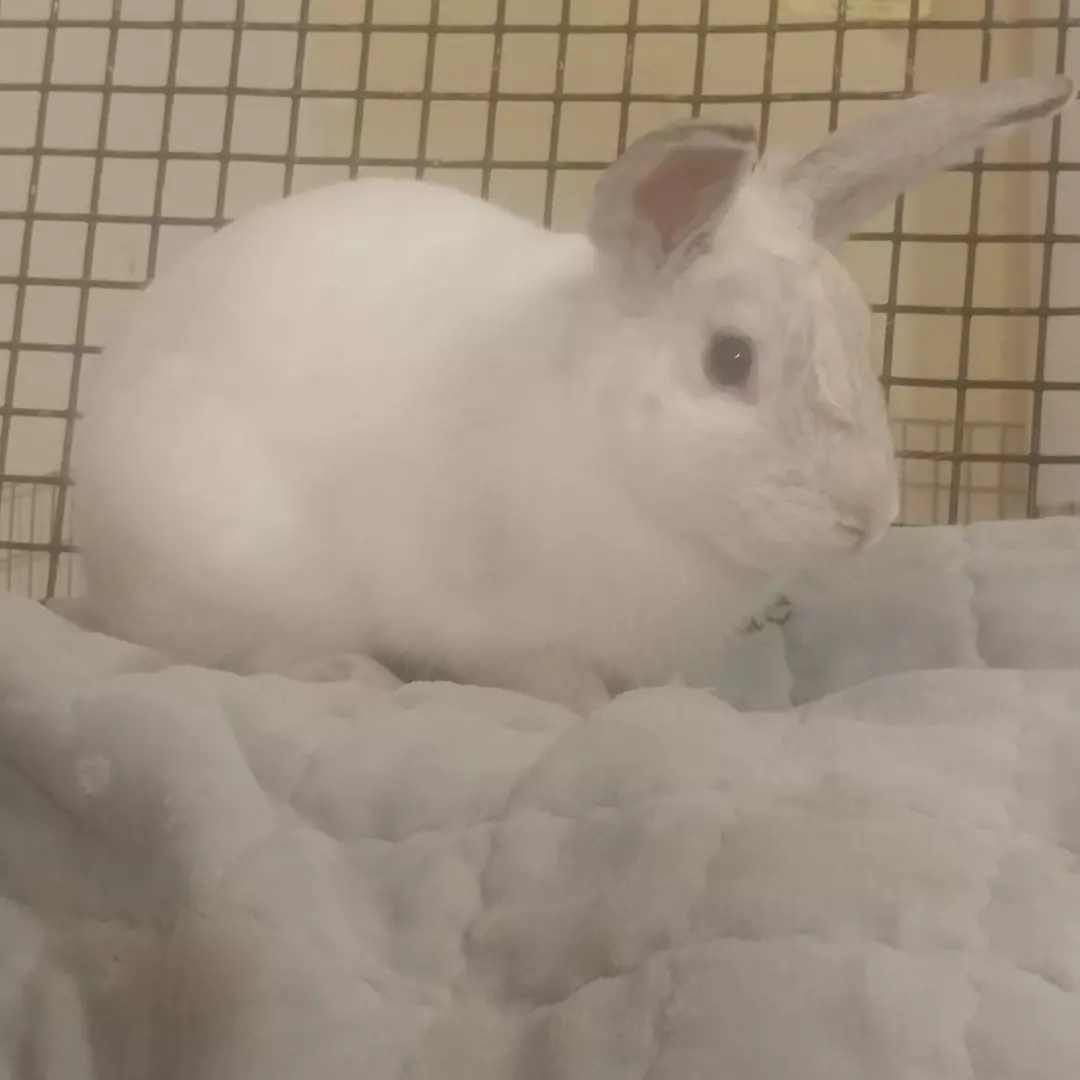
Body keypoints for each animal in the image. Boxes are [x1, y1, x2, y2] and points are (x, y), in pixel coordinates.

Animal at [70, 75, 1074, 713]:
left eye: (862, 331)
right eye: (729, 360)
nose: (866, 516)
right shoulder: (502, 633)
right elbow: (562, 689)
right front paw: (597, 714)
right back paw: (345, 674)